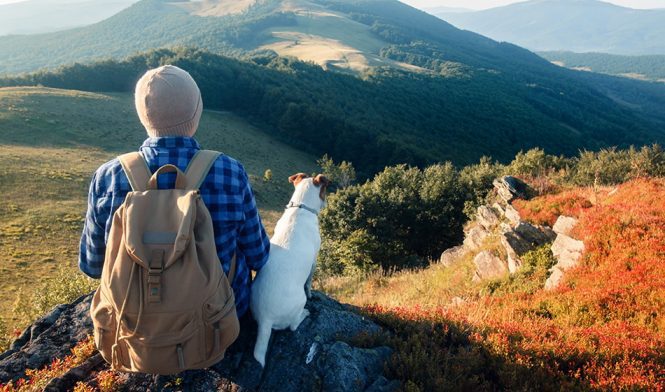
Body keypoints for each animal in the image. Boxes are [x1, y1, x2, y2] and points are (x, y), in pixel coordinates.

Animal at [249, 173, 330, 366]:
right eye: (325, 190)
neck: (300, 208)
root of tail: (265, 318)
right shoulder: (314, 261)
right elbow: (309, 282)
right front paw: (311, 293)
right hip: (299, 302)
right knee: (293, 325)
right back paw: (305, 314)